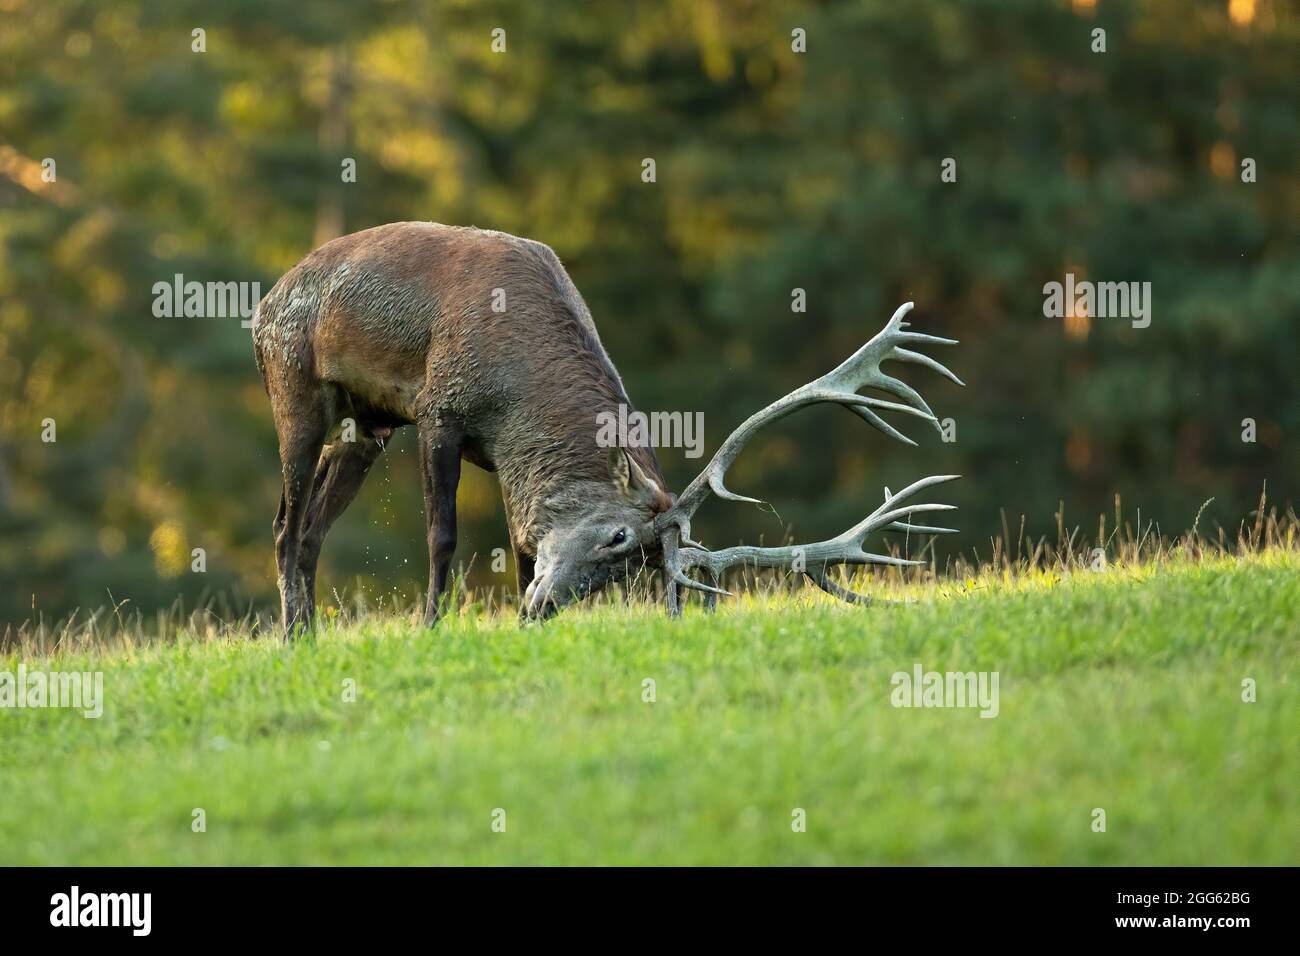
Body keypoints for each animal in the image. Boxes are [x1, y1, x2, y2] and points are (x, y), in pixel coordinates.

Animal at [252, 222, 962, 634]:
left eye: (624, 577)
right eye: (619, 537)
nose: (547, 608)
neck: (515, 399)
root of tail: (265, 303)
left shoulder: (503, 467)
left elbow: (520, 552)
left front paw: (518, 622)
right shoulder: (438, 410)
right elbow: (443, 536)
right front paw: (431, 627)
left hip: (366, 426)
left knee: (313, 526)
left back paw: (308, 630)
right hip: (295, 385)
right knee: (285, 520)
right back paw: (290, 635)